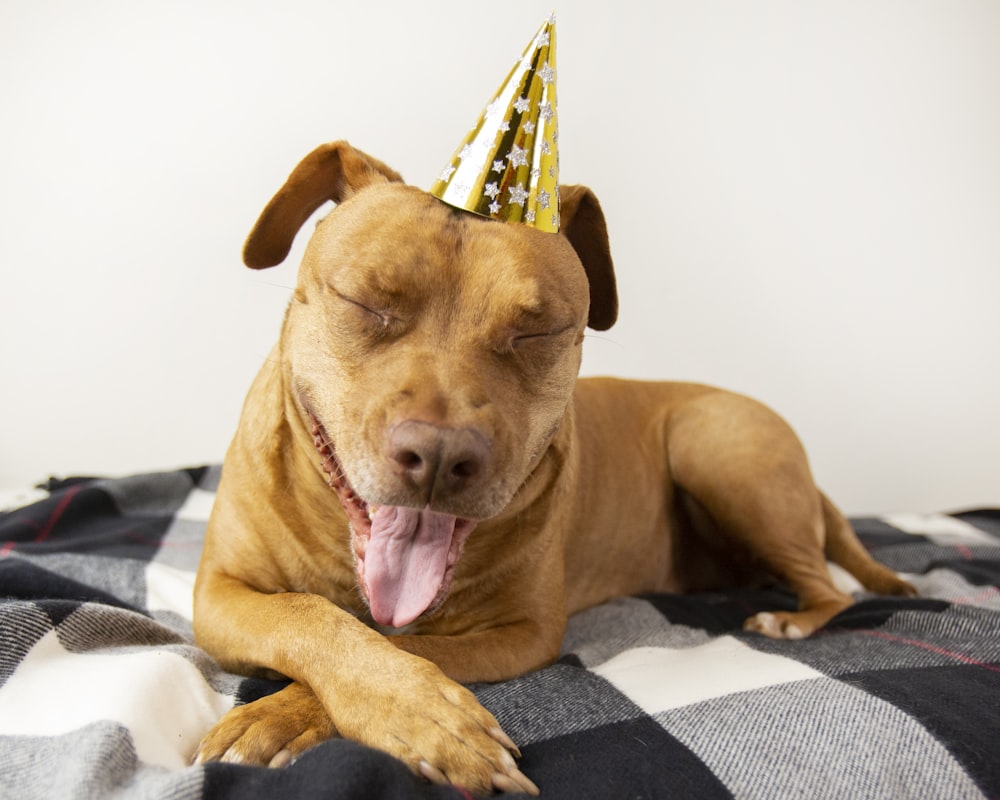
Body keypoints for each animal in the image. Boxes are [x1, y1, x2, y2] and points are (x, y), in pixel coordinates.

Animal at [191, 142, 916, 792]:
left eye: (536, 333)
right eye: (365, 302)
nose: (441, 455)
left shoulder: (523, 634)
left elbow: (408, 643)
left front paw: (384, 717)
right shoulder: (218, 595)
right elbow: (306, 616)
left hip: (719, 448)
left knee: (832, 590)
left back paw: (789, 618)